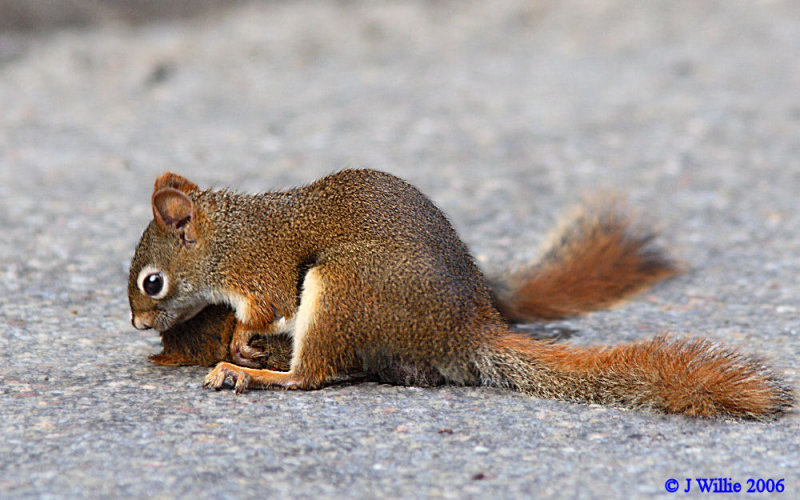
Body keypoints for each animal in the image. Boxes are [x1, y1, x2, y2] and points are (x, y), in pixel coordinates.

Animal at [128, 168, 792, 418]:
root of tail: (463, 330)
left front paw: (241, 340)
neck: (226, 238)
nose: (137, 324)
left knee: (312, 377)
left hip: (343, 288)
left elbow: (265, 308)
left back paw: (253, 373)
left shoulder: (259, 269)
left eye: (151, 283)